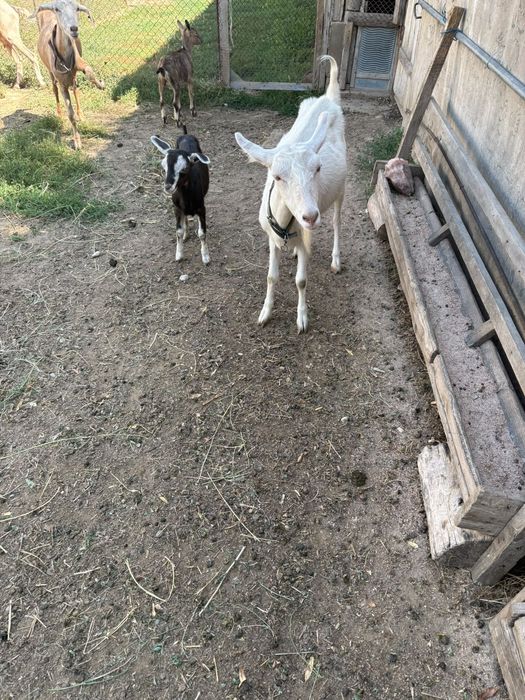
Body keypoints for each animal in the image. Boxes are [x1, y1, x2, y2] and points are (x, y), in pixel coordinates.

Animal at [34, 0, 104, 149]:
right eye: (57, 9)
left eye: (77, 8)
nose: (74, 29)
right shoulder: (61, 81)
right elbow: (70, 114)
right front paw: (77, 142)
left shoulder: (78, 61)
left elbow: (89, 71)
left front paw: (101, 84)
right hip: (50, 72)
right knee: (54, 88)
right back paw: (59, 114)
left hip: (72, 75)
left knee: (75, 87)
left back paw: (81, 114)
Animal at [151, 130, 211, 266]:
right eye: (163, 167)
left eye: (184, 169)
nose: (168, 186)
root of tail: (186, 134)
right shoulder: (177, 208)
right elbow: (178, 231)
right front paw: (179, 254)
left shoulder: (201, 208)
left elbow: (202, 233)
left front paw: (205, 257)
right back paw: (186, 235)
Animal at [235, 55, 347, 333]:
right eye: (276, 177)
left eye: (317, 168)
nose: (310, 216)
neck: (287, 225)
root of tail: (328, 97)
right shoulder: (271, 237)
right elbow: (271, 276)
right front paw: (265, 313)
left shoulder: (307, 237)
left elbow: (301, 280)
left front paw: (302, 318)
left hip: (342, 189)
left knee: (337, 222)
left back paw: (336, 260)